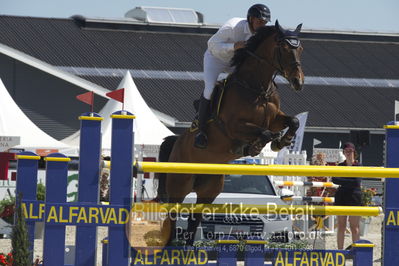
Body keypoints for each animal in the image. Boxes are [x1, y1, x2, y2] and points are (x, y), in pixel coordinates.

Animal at [155, 20, 304, 245]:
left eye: (300, 49)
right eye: (284, 49)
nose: (298, 81)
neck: (257, 87)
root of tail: (176, 143)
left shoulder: (275, 119)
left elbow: (293, 121)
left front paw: (282, 141)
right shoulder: (233, 126)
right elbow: (264, 133)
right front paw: (257, 146)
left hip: (209, 190)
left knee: (194, 219)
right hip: (179, 185)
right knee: (173, 215)